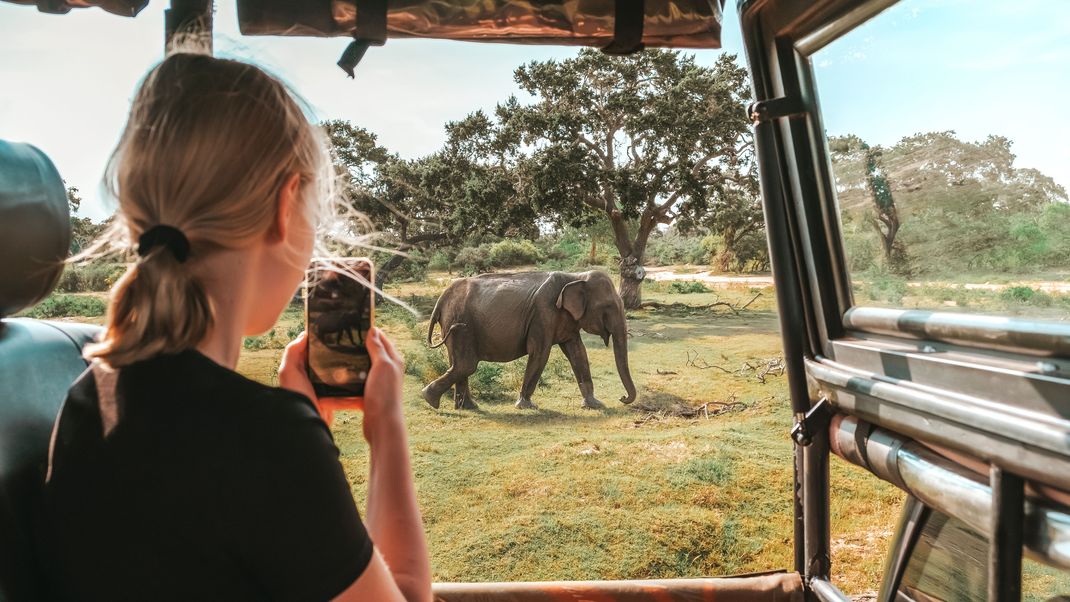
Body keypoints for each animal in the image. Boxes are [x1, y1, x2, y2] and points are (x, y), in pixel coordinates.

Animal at [417, 270, 633, 412]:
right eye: (608, 307)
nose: (622, 398)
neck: (575, 276)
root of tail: (441, 299)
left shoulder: (566, 321)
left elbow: (578, 352)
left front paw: (594, 405)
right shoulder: (543, 312)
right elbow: (540, 352)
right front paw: (527, 406)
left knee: (459, 364)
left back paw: (466, 407)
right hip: (459, 323)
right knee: (466, 365)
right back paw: (430, 398)